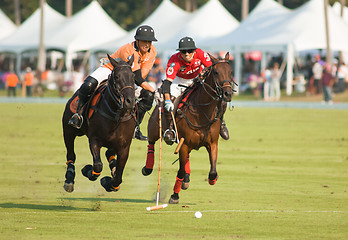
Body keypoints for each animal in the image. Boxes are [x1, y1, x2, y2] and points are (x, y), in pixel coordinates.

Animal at [62, 54, 136, 193]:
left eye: (133, 77)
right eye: (117, 77)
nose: (130, 101)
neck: (116, 116)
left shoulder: (124, 148)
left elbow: (118, 177)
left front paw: (108, 182)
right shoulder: (95, 139)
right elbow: (97, 165)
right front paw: (87, 170)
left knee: (109, 154)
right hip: (68, 131)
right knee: (71, 155)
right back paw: (69, 179)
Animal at [143, 53, 235, 204]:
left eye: (231, 72)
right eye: (216, 72)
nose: (227, 93)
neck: (202, 111)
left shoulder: (212, 143)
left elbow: (213, 171)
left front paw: (212, 179)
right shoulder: (184, 143)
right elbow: (180, 171)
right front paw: (174, 196)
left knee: (186, 159)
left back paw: (187, 179)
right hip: (155, 127)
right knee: (151, 142)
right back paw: (148, 168)